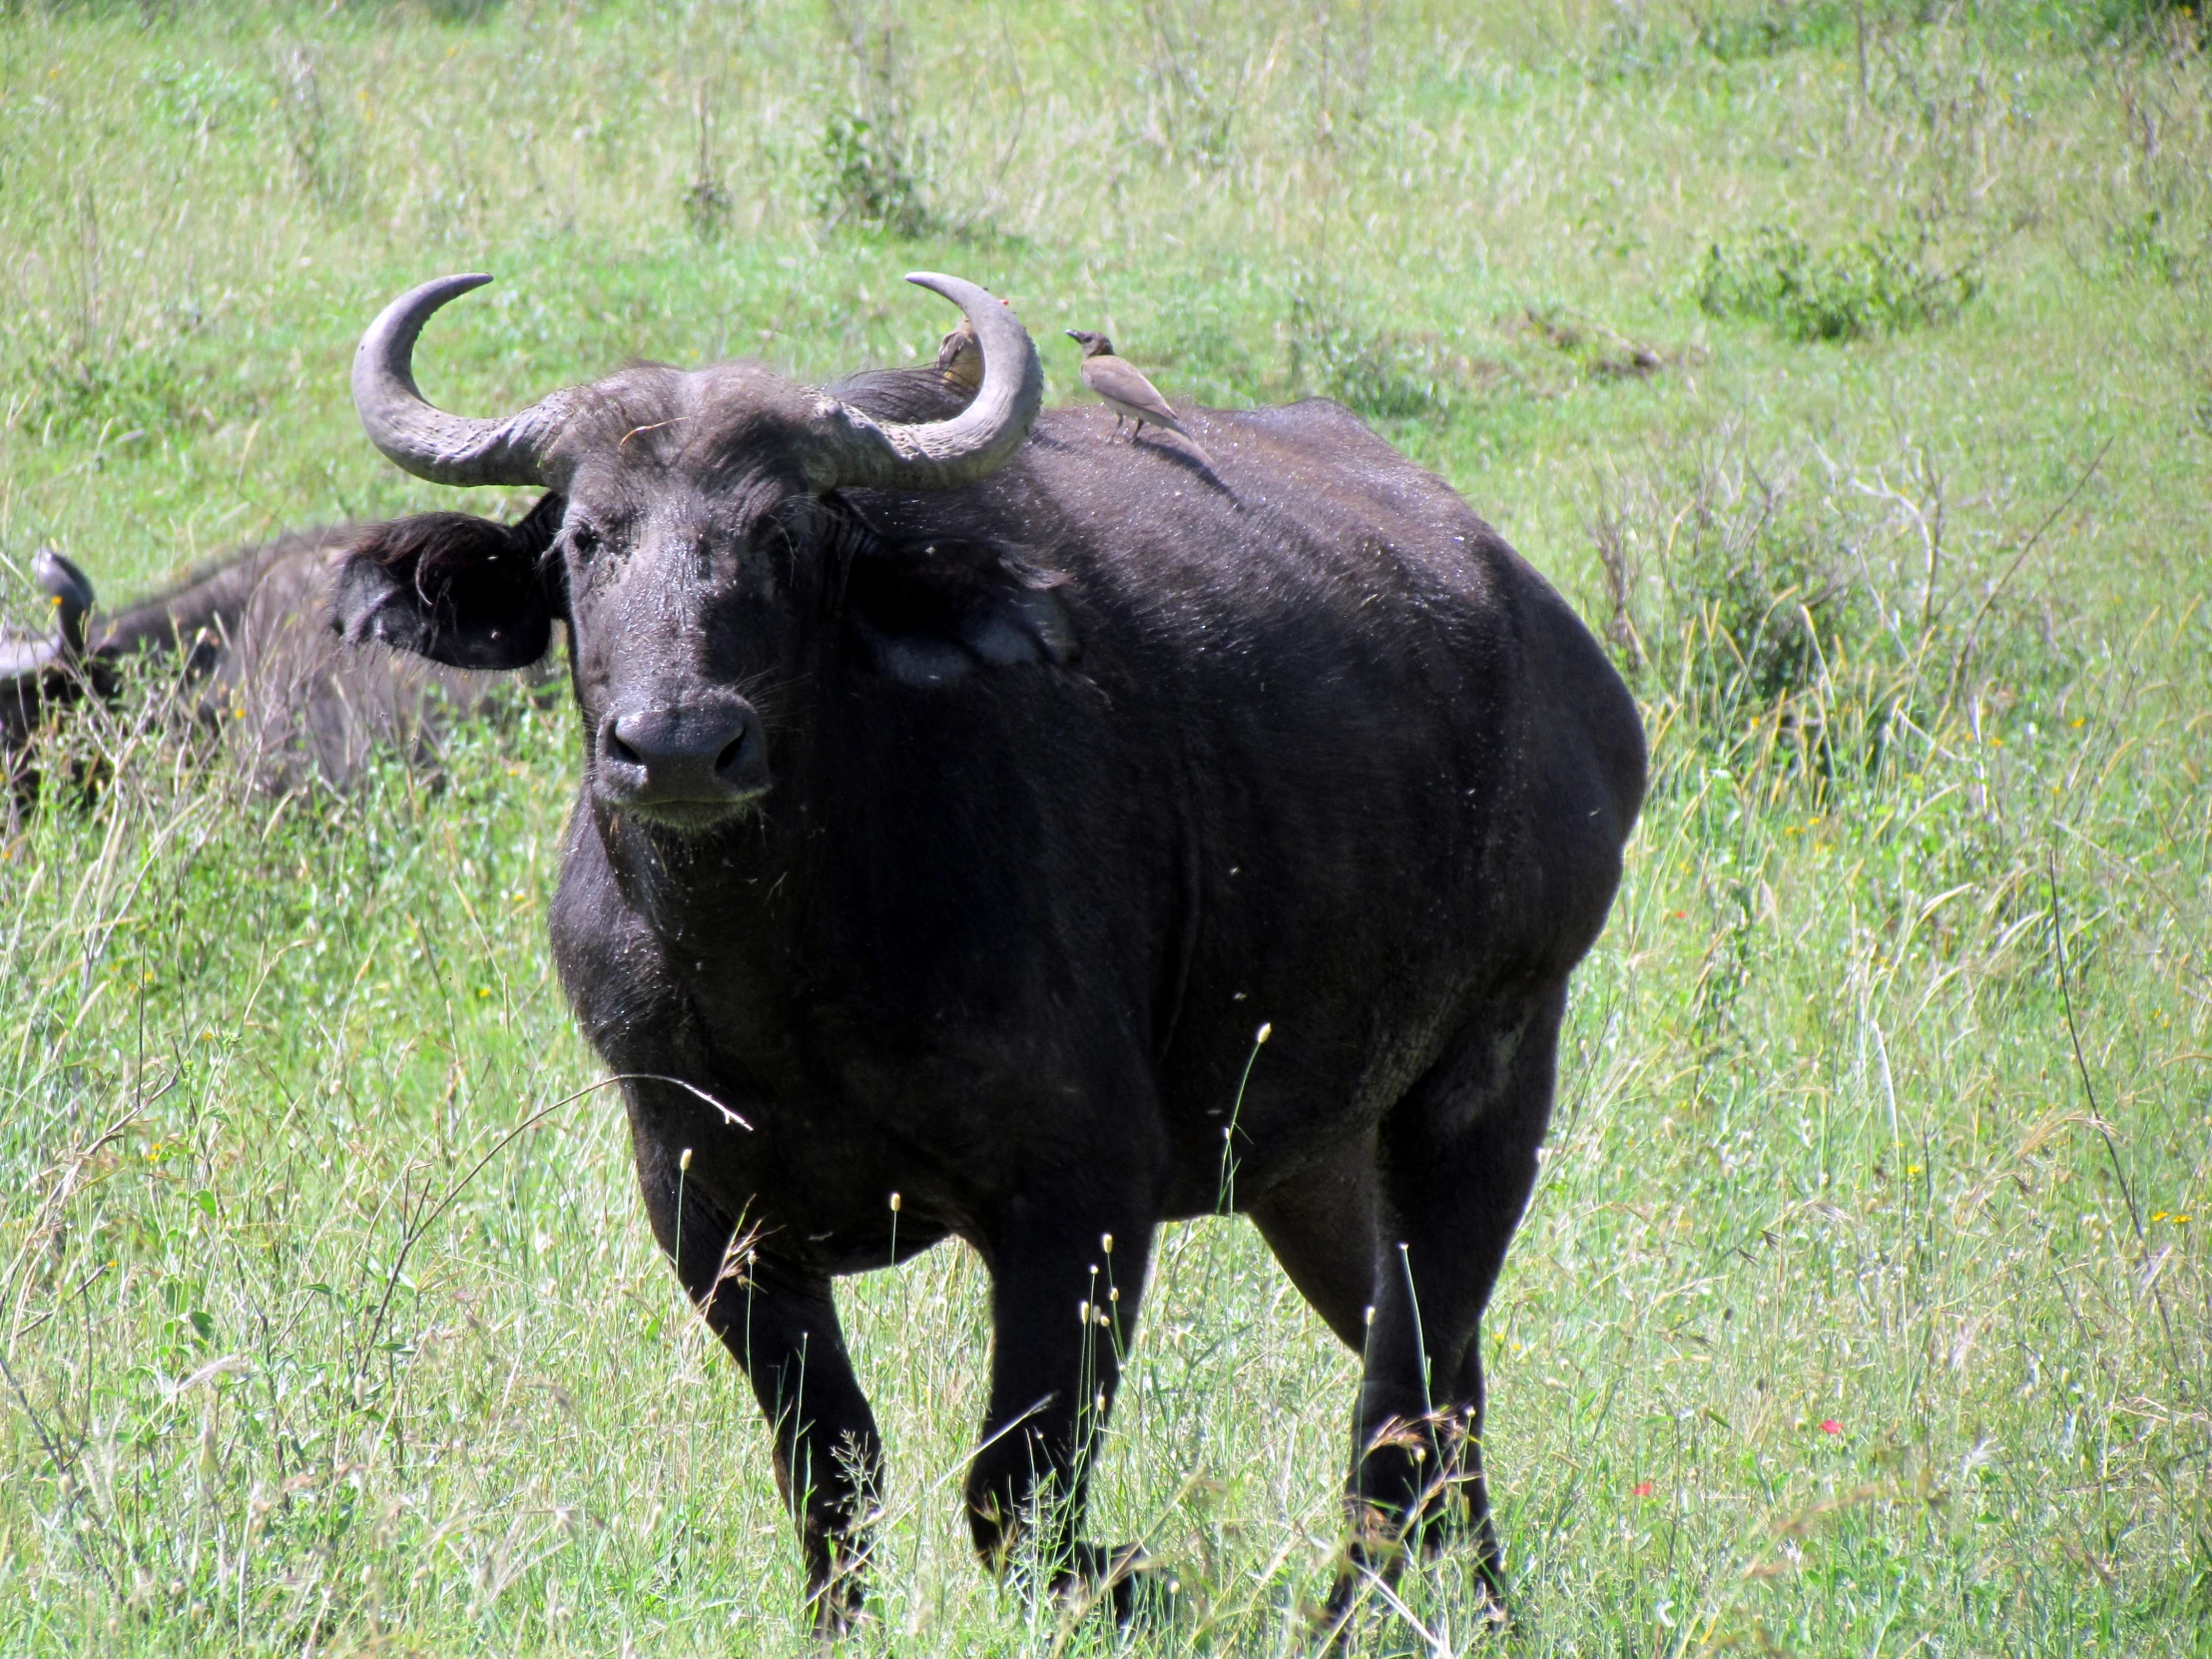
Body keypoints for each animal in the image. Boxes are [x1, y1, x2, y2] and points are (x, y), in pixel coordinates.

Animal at [326, 273, 1645, 1636]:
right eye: (588, 538)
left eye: (785, 539)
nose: (680, 745)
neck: (780, 968)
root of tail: (1564, 664)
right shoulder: (705, 1213)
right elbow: (832, 1471)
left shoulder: (1082, 1203)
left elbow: (1016, 1486)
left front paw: (1132, 1582)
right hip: (1314, 1163)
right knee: (1447, 1394)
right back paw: (1486, 1615)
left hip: (1488, 1076)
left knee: (1403, 1407)